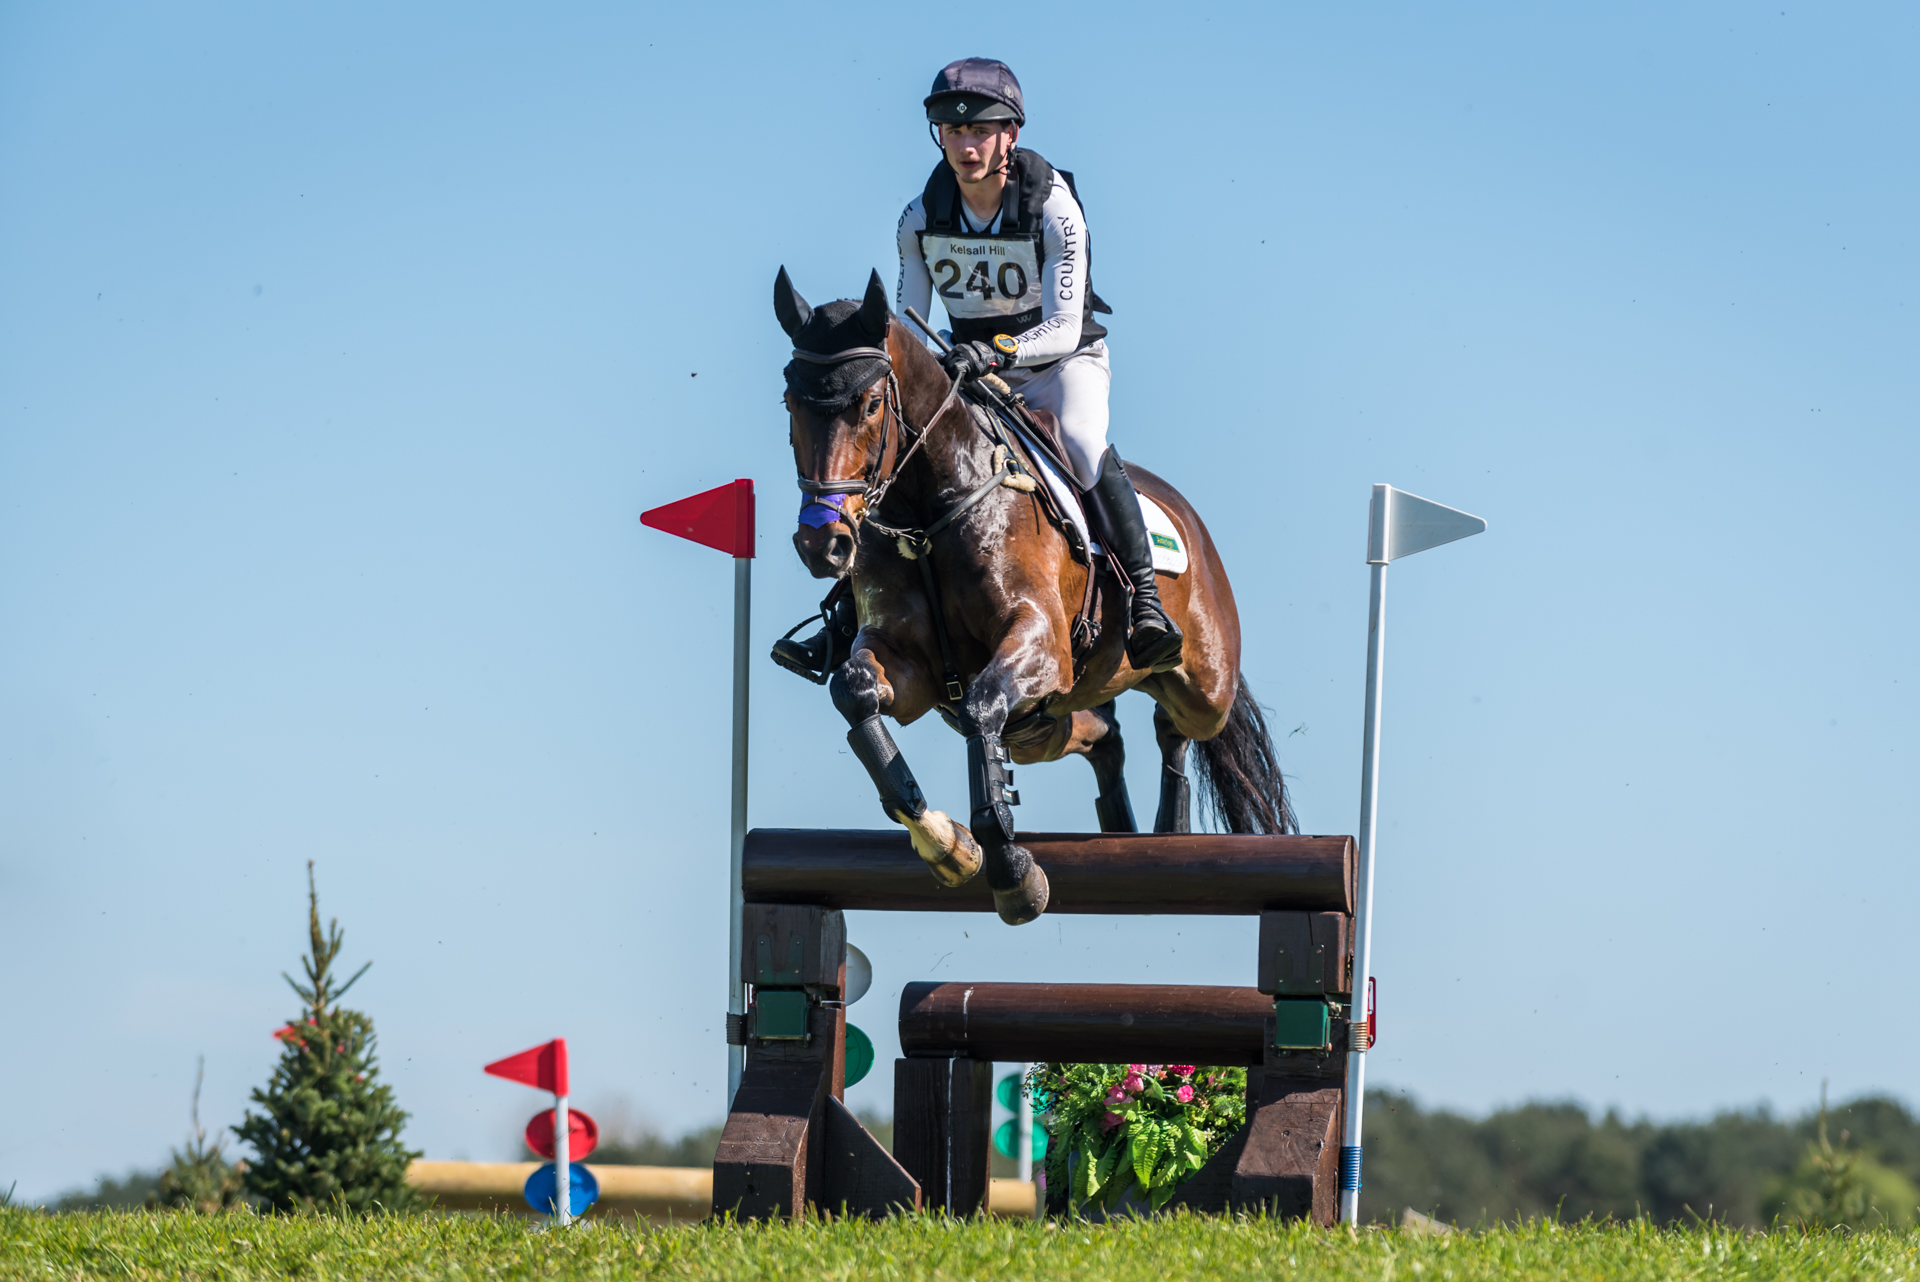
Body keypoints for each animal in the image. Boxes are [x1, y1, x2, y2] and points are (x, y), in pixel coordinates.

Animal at [777, 267, 1293, 925]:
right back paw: (1124, 830)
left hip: (1204, 688)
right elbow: (855, 691)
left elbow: (979, 708)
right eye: (790, 404)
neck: (930, 508)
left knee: (1174, 722)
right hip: (1040, 727)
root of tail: (1189, 520)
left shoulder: (1039, 641)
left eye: (869, 404)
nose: (823, 543)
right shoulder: (908, 664)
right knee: (1101, 735)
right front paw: (945, 844)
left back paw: (1167, 823)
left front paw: (1010, 871)